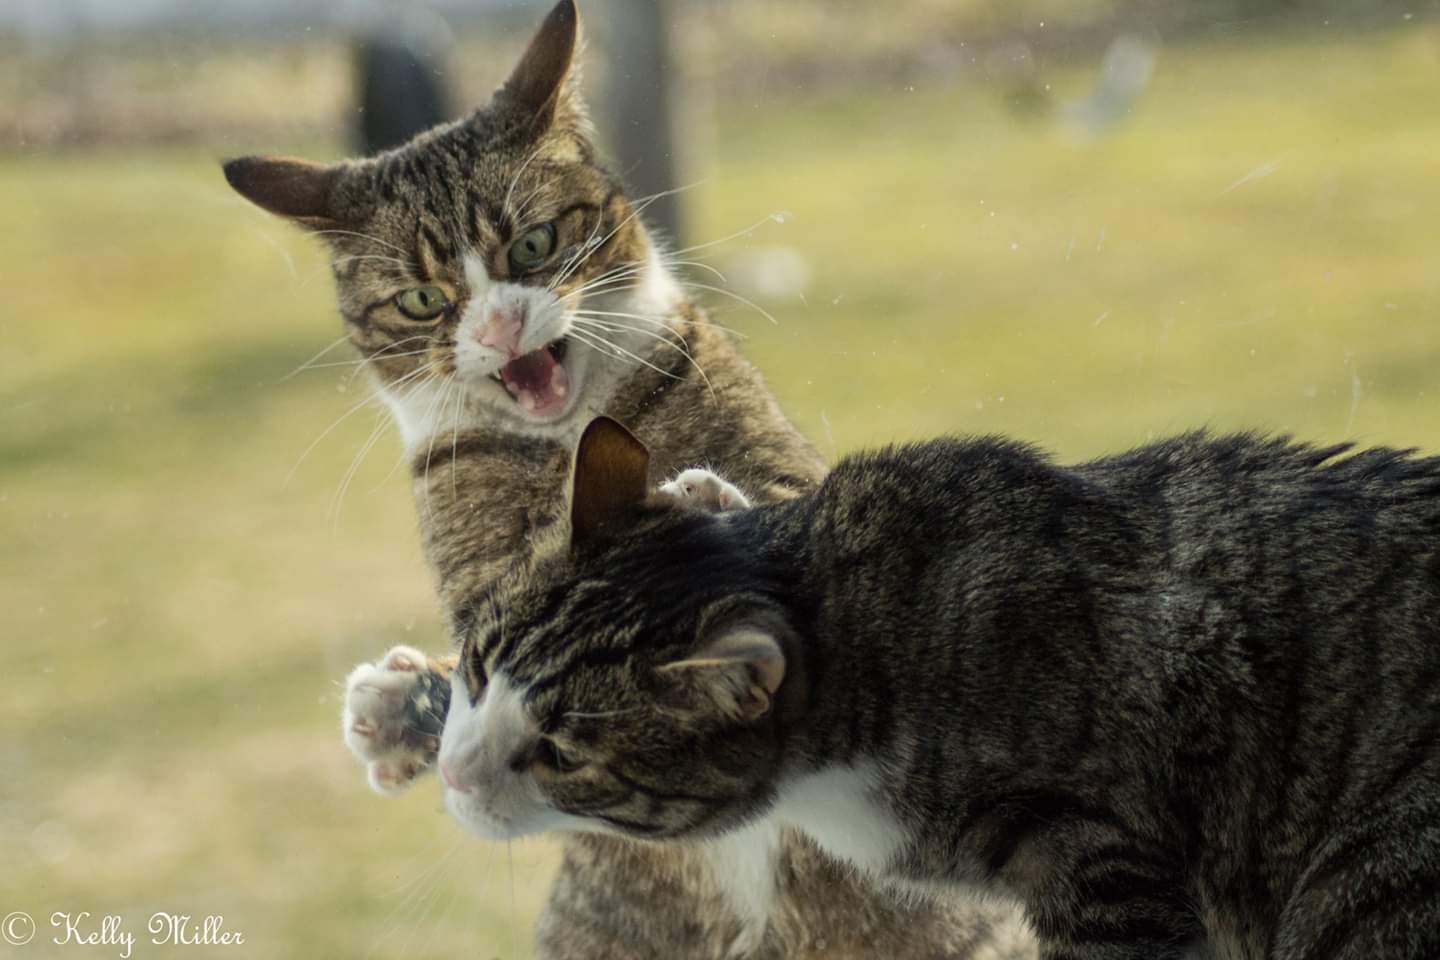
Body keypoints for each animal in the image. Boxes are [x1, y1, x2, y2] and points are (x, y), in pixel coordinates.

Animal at [218, 1, 1031, 960]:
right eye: (423, 301)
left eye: (535, 243)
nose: (499, 328)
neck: (568, 436)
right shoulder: (477, 559)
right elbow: (501, 640)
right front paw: (404, 710)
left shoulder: (782, 469)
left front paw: (702, 503)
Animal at [437, 417, 1440, 960]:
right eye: (477, 668)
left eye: (561, 753)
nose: (450, 776)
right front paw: (705, 487)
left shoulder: (1105, 862)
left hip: (1374, 879)